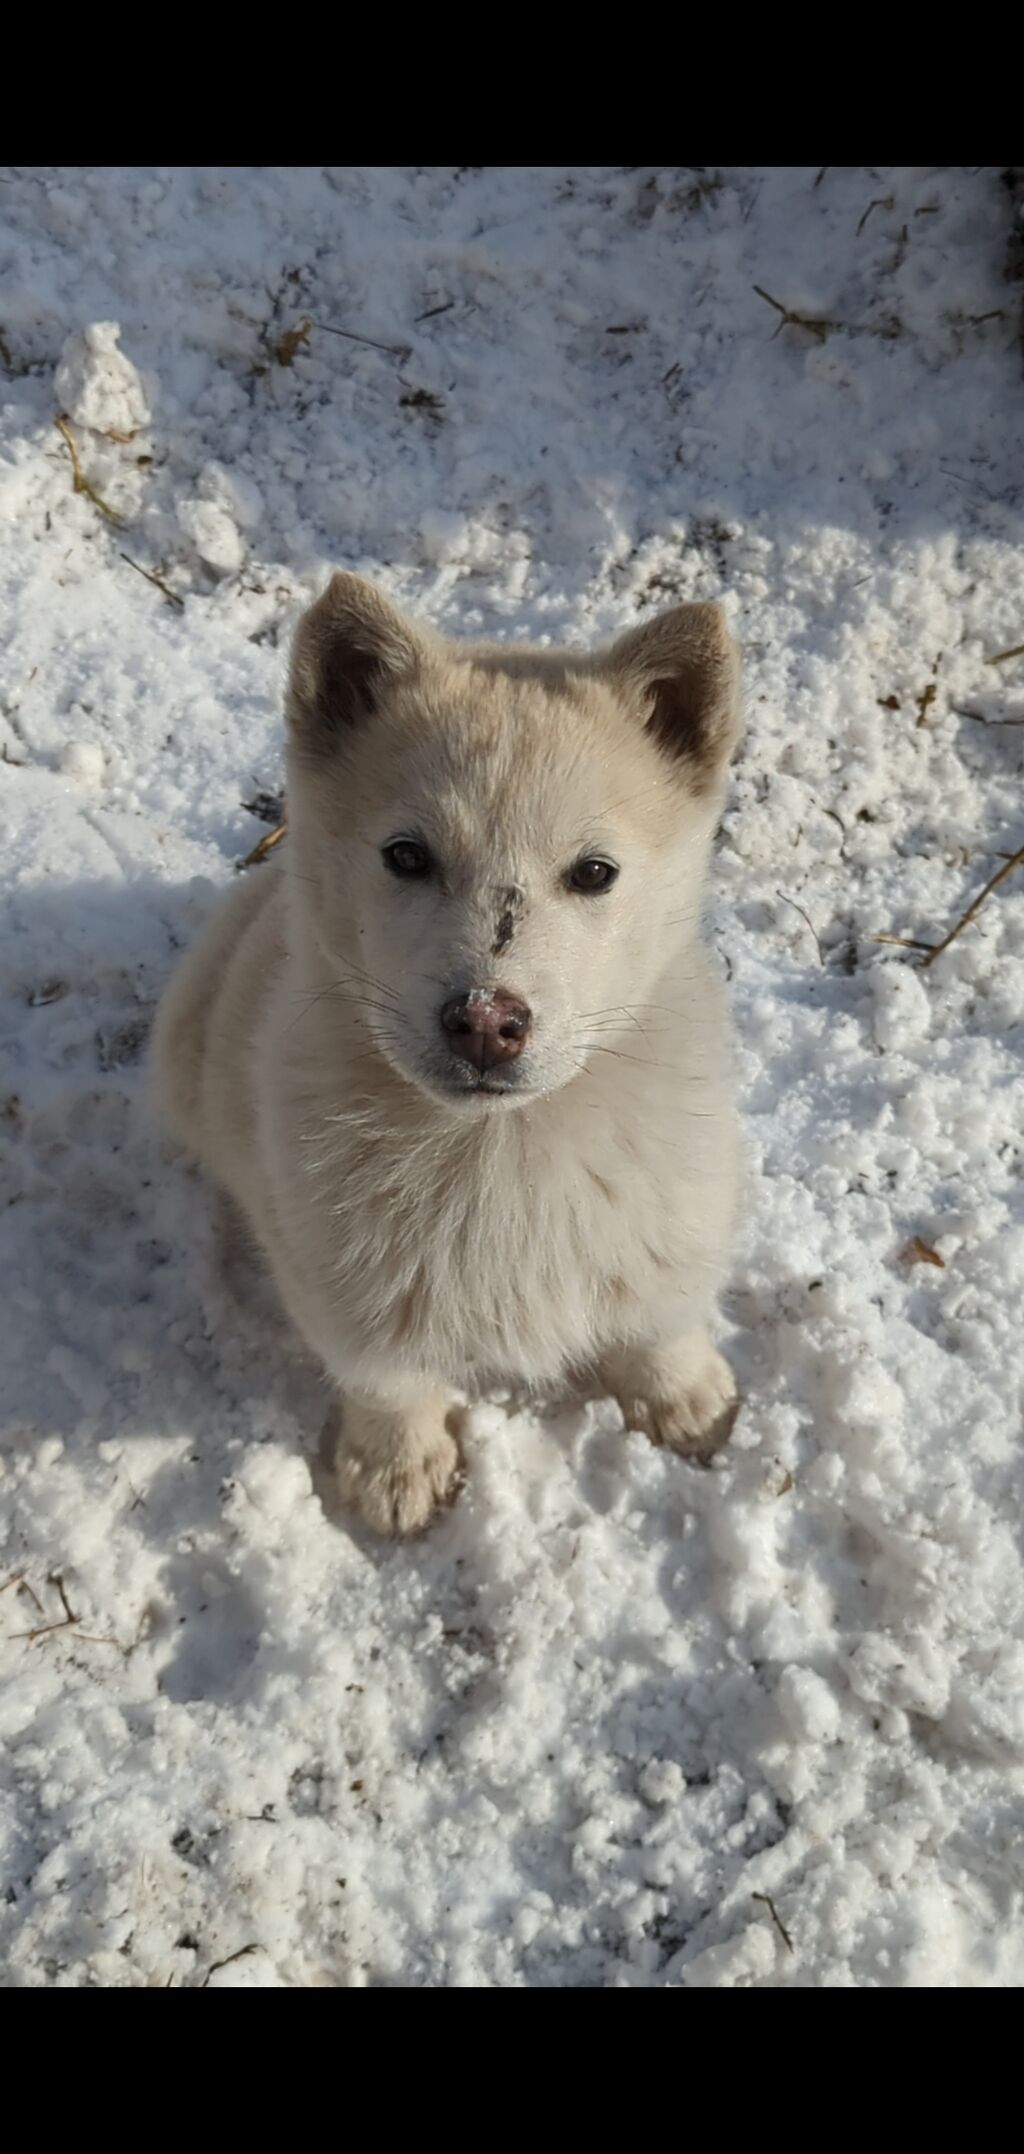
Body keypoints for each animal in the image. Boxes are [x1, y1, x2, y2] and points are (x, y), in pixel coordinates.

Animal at [151, 577, 741, 1533]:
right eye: (406, 855)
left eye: (594, 872)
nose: (486, 1022)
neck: (502, 1148)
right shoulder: (340, 1279)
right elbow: (387, 1378)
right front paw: (396, 1472)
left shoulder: (674, 1205)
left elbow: (662, 1312)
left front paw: (687, 1401)